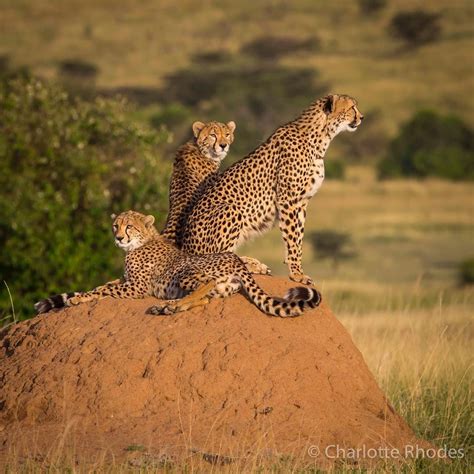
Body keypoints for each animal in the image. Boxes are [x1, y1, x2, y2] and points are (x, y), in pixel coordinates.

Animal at [35, 212, 320, 318]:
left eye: (130, 227)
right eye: (115, 225)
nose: (118, 237)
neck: (140, 243)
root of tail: (235, 259)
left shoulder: (136, 287)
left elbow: (104, 289)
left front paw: (79, 298)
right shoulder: (126, 280)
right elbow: (103, 284)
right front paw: (79, 296)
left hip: (186, 272)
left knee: (204, 286)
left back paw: (169, 306)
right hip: (219, 287)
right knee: (205, 298)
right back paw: (169, 306)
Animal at [181, 94, 362, 284]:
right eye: (352, 107)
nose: (361, 117)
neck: (321, 136)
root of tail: (185, 250)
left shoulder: (301, 202)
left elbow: (298, 237)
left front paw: (295, 268)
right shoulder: (289, 201)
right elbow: (292, 238)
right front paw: (297, 274)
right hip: (231, 209)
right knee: (218, 258)